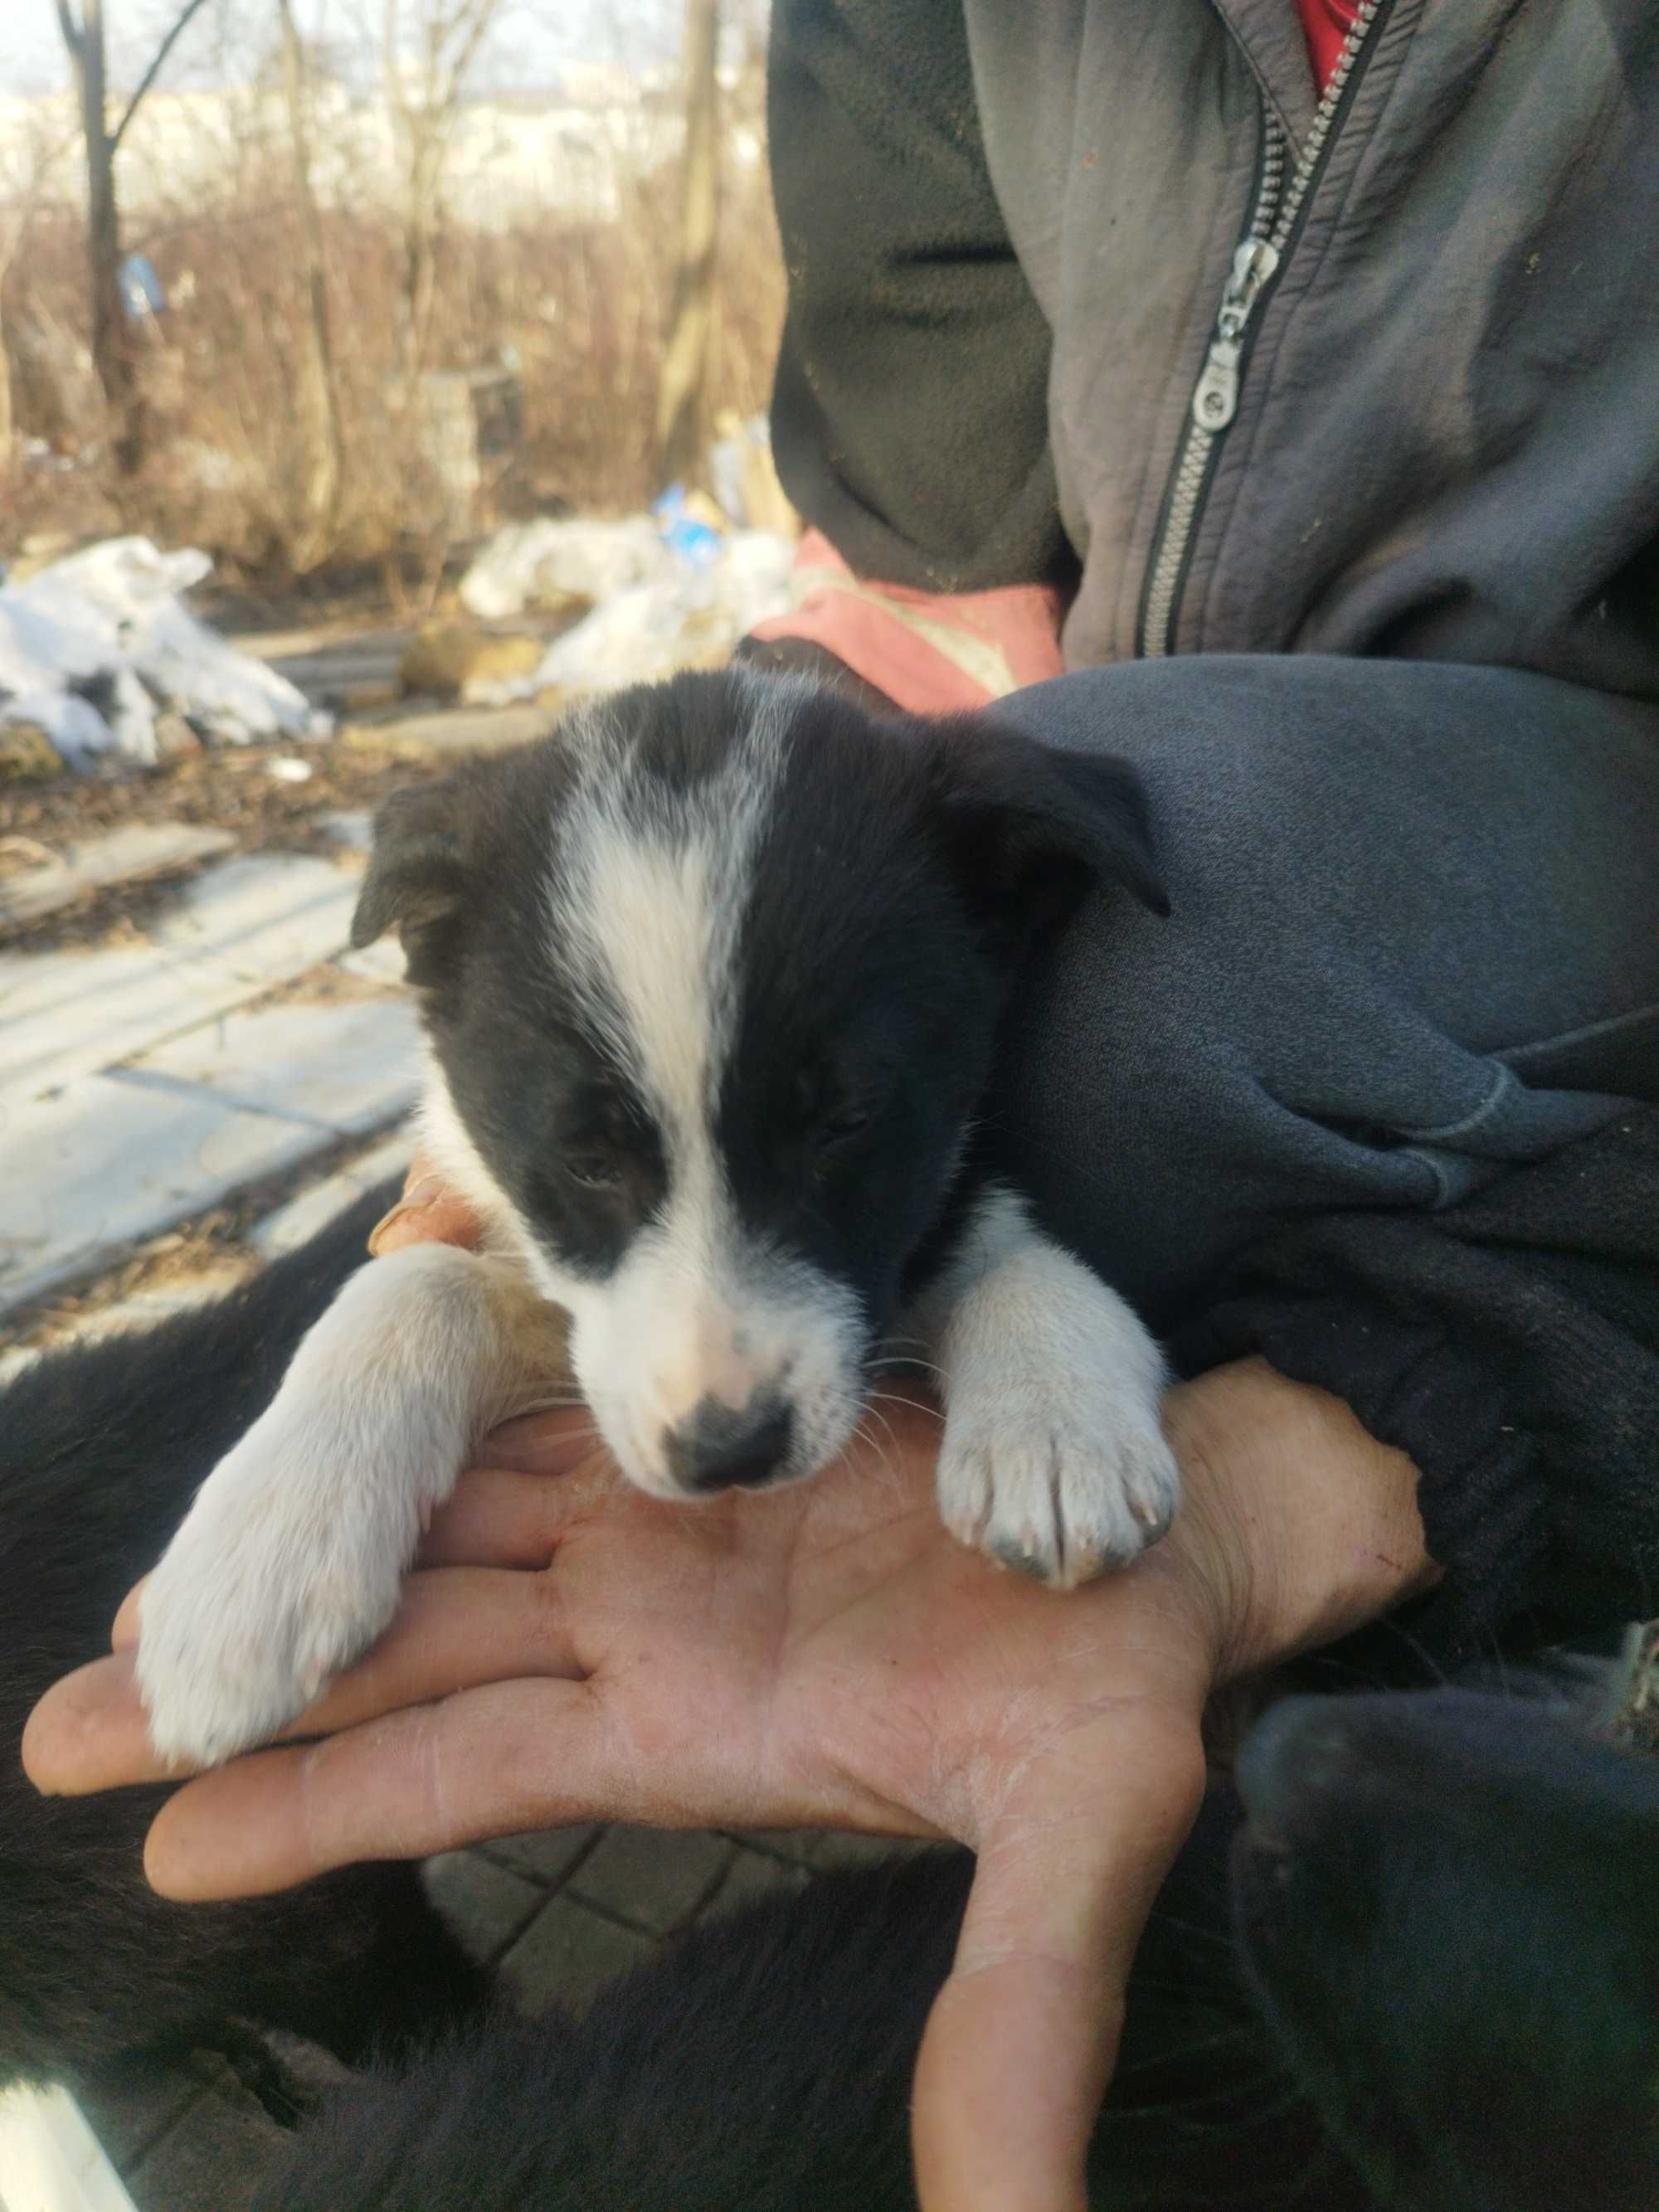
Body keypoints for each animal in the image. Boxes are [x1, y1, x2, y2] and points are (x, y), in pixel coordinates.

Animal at [139, 668, 1185, 1760]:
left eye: (846, 1124)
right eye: (585, 1161)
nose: (728, 1452)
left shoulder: (936, 1187)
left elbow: (1019, 1257)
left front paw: (1055, 1425)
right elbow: (411, 1281)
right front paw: (257, 1560)